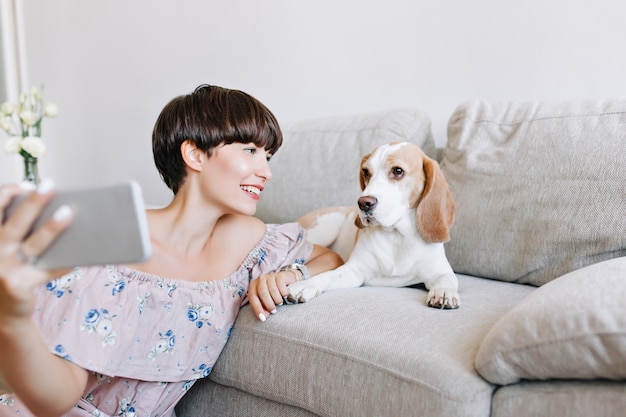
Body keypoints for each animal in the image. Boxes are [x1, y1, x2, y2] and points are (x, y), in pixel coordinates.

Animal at [288, 141, 458, 308]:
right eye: (366, 172)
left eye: (398, 171)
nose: (364, 203)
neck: (397, 236)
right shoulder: (354, 271)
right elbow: (328, 275)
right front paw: (305, 285)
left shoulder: (440, 271)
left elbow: (447, 279)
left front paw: (444, 292)